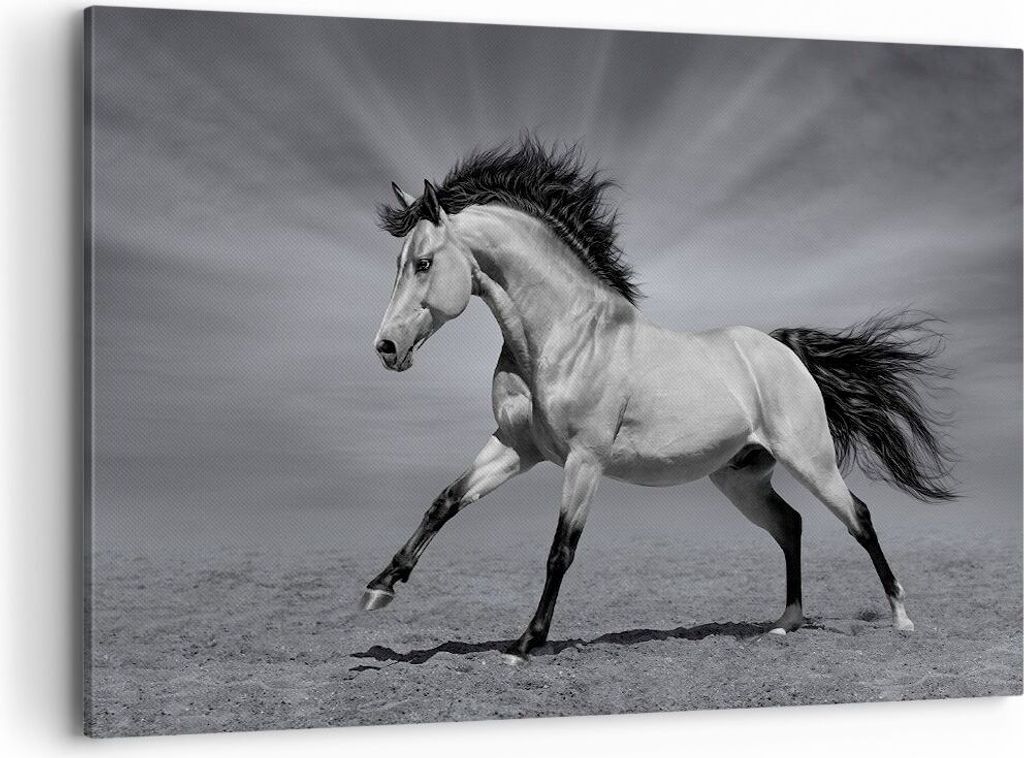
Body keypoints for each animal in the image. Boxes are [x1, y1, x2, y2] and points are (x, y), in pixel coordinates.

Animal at [360, 138, 956, 664]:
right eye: (399, 262)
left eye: (423, 263)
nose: (386, 348)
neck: (564, 336)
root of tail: (783, 350)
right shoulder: (515, 447)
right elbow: (445, 501)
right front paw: (379, 587)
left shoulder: (584, 461)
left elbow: (560, 551)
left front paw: (525, 644)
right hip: (742, 478)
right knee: (790, 525)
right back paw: (785, 623)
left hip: (810, 460)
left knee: (859, 517)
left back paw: (901, 618)